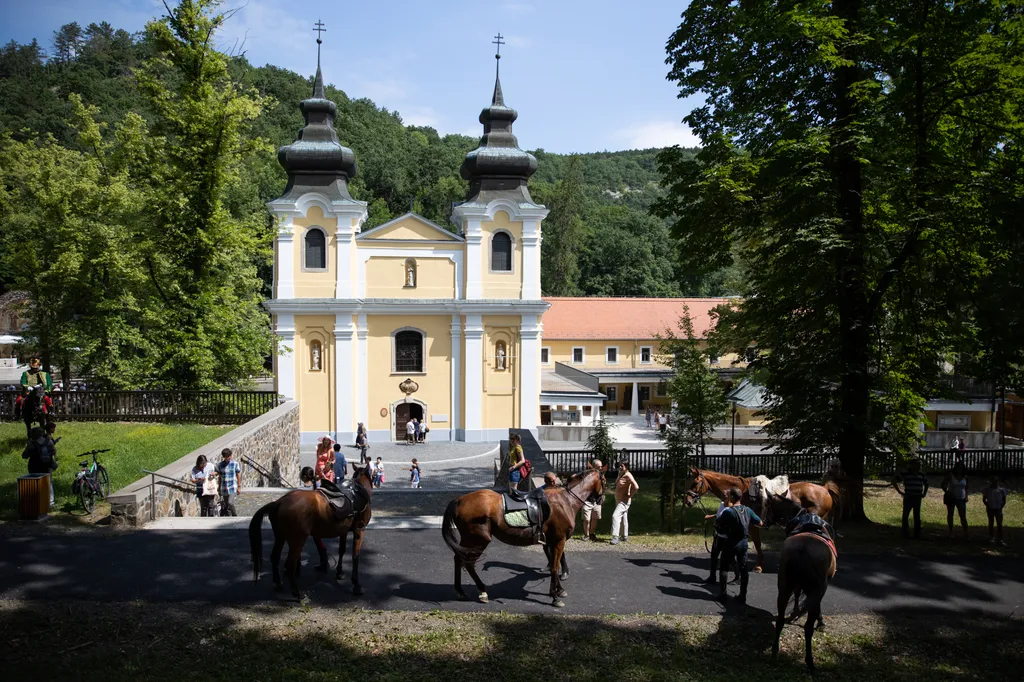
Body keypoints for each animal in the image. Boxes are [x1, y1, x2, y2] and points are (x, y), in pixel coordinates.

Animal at [247, 464, 372, 598]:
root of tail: (279, 502)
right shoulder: (359, 530)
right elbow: (355, 556)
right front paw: (356, 584)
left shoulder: (344, 531)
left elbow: (341, 550)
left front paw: (339, 572)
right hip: (298, 539)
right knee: (290, 564)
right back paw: (298, 594)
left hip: (280, 536)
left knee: (275, 557)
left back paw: (278, 583)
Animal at [438, 466, 598, 606]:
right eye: (602, 478)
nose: (599, 499)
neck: (566, 501)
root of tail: (459, 500)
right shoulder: (559, 540)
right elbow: (554, 567)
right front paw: (555, 596)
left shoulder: (552, 541)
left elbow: (555, 564)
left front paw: (559, 590)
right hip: (478, 540)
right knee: (468, 563)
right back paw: (482, 591)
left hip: (469, 540)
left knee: (458, 558)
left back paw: (460, 591)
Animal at [679, 464, 839, 569]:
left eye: (695, 483)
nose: (688, 500)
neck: (742, 493)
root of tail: (825, 489)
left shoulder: (751, 524)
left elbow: (757, 544)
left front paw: (759, 566)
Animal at [765, 491, 835, 667]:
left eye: (767, 505)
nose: (765, 521)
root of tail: (803, 549)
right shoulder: (822, 586)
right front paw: (820, 622)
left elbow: (797, 594)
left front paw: (795, 611)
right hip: (817, 588)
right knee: (808, 627)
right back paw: (809, 661)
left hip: (783, 586)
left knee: (780, 620)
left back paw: (775, 651)